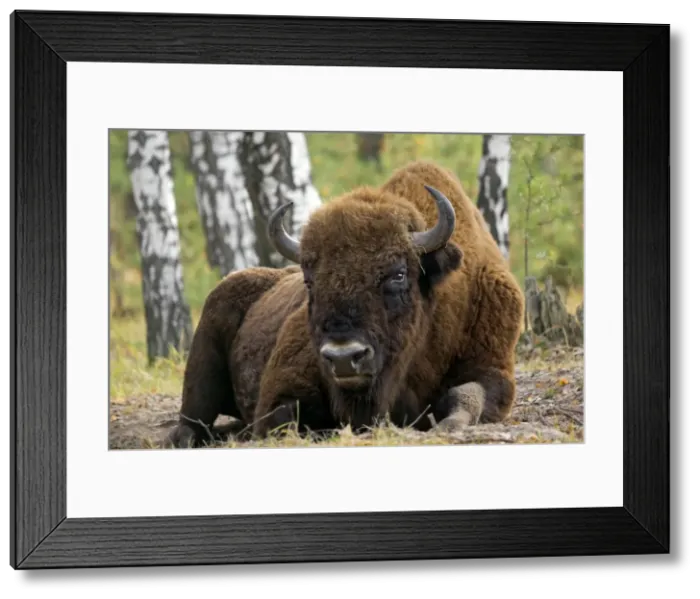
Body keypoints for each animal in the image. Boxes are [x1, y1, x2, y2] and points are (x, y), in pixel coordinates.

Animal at [166, 160, 525, 448]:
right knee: (191, 423)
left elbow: (467, 397)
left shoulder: (493, 370)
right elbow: (283, 420)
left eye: (398, 274)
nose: (343, 358)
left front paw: (446, 425)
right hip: (200, 370)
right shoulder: (281, 390)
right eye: (309, 280)